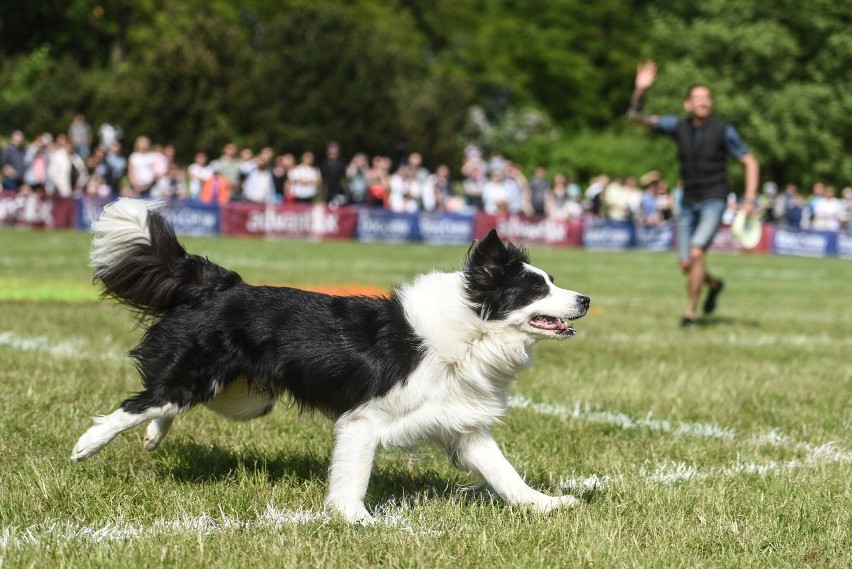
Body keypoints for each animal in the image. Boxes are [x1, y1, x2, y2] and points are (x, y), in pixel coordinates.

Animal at [73, 197, 588, 520]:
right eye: (536, 288)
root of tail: (219, 284)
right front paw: (355, 520)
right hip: (202, 377)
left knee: (166, 404)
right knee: (142, 402)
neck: (471, 330)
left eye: (553, 281)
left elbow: (504, 471)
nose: (584, 299)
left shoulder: (460, 421)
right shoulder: (365, 420)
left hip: (245, 398)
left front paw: (545, 504)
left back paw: (153, 438)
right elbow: (353, 477)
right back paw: (87, 444)